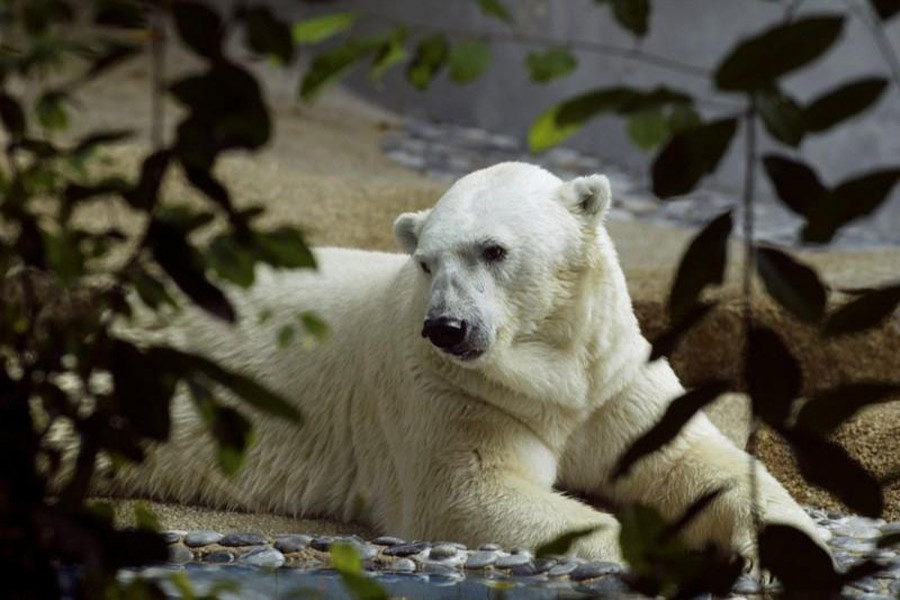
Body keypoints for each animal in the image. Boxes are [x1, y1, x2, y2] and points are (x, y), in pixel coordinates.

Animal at [113, 161, 824, 566]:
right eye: (426, 262)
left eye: (493, 249)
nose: (446, 327)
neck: (552, 369)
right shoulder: (445, 390)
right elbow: (471, 491)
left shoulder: (613, 378)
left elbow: (693, 462)